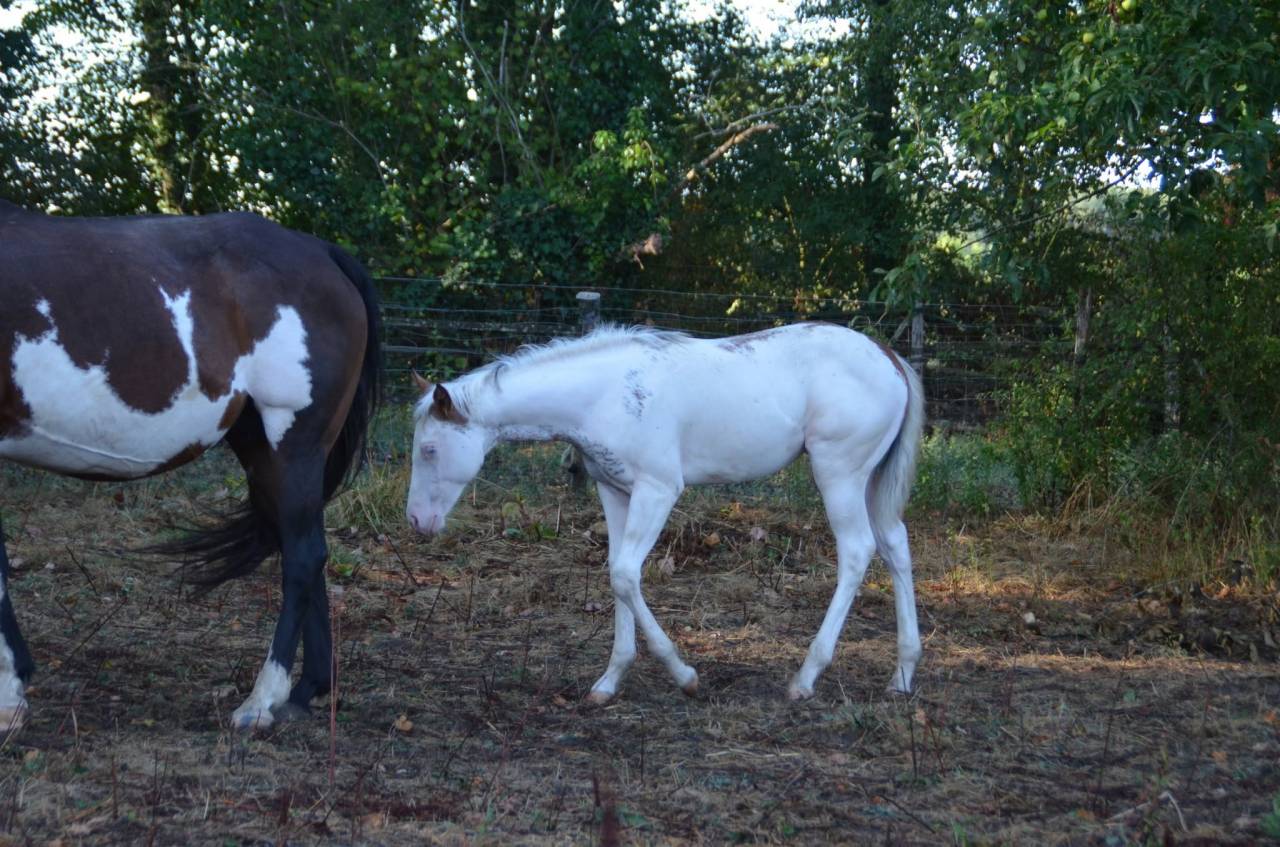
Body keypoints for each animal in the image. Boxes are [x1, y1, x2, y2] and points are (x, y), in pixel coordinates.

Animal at [0, 199, 381, 730]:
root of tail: (324, 253)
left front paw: (9, 695)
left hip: (294, 445)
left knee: (304, 556)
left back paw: (261, 701)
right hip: (260, 449)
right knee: (301, 547)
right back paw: (305, 691)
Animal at [405, 323, 923, 703]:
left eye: (429, 450)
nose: (416, 522)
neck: (601, 394)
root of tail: (890, 358)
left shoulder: (658, 490)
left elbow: (625, 574)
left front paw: (685, 675)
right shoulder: (614, 491)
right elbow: (616, 574)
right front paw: (609, 682)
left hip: (839, 473)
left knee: (857, 551)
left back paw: (806, 677)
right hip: (869, 480)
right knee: (896, 546)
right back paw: (902, 674)